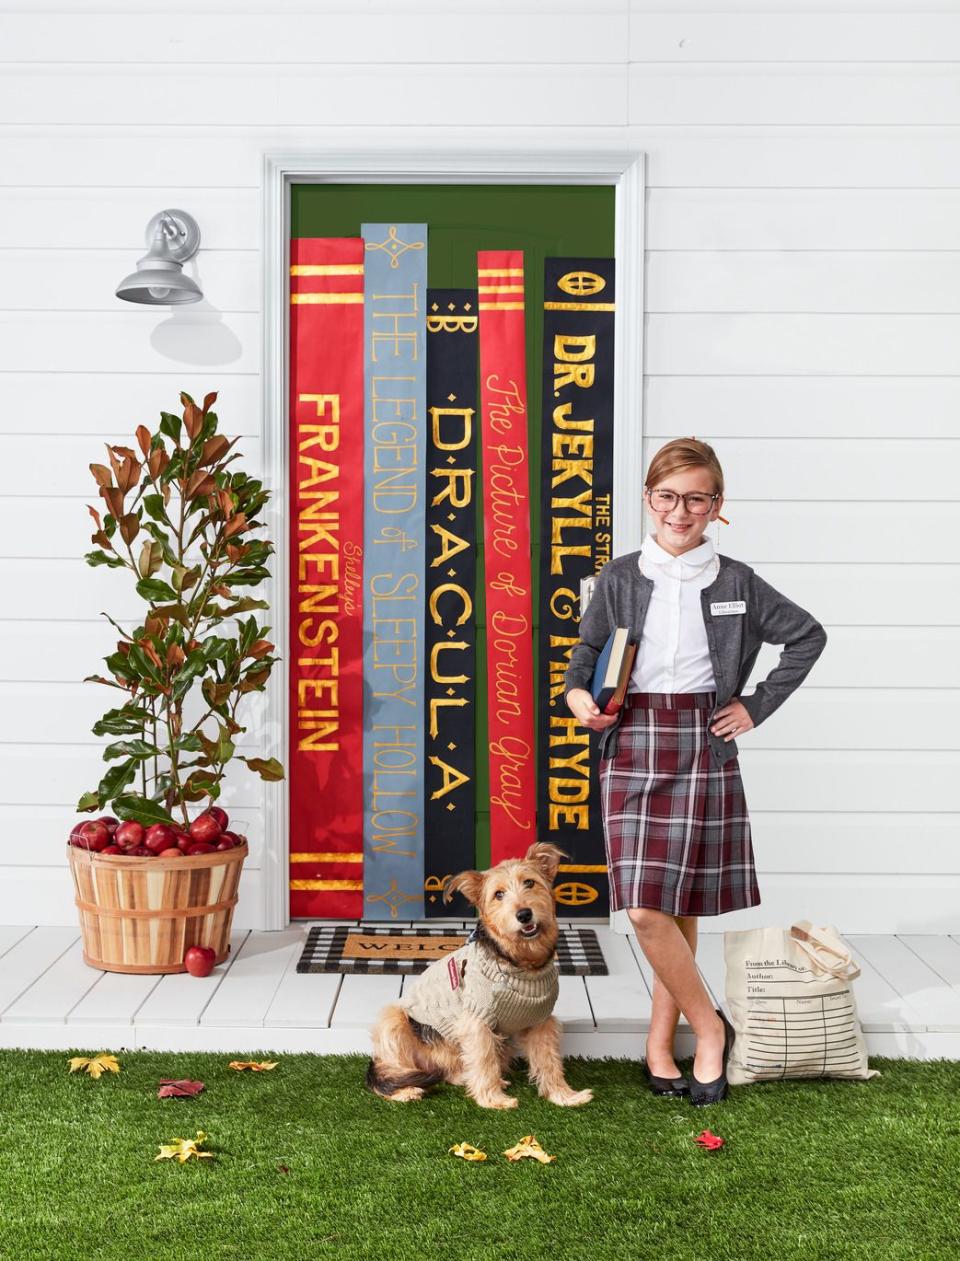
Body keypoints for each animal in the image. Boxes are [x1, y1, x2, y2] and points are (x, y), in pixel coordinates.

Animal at [365, 842, 592, 1109]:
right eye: (498, 894)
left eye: (530, 883)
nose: (524, 914)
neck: (521, 962)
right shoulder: (477, 1021)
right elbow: (484, 1060)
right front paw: (493, 1100)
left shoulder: (542, 1022)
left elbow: (549, 1060)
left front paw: (563, 1095)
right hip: (394, 1019)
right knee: (387, 1073)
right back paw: (405, 1090)